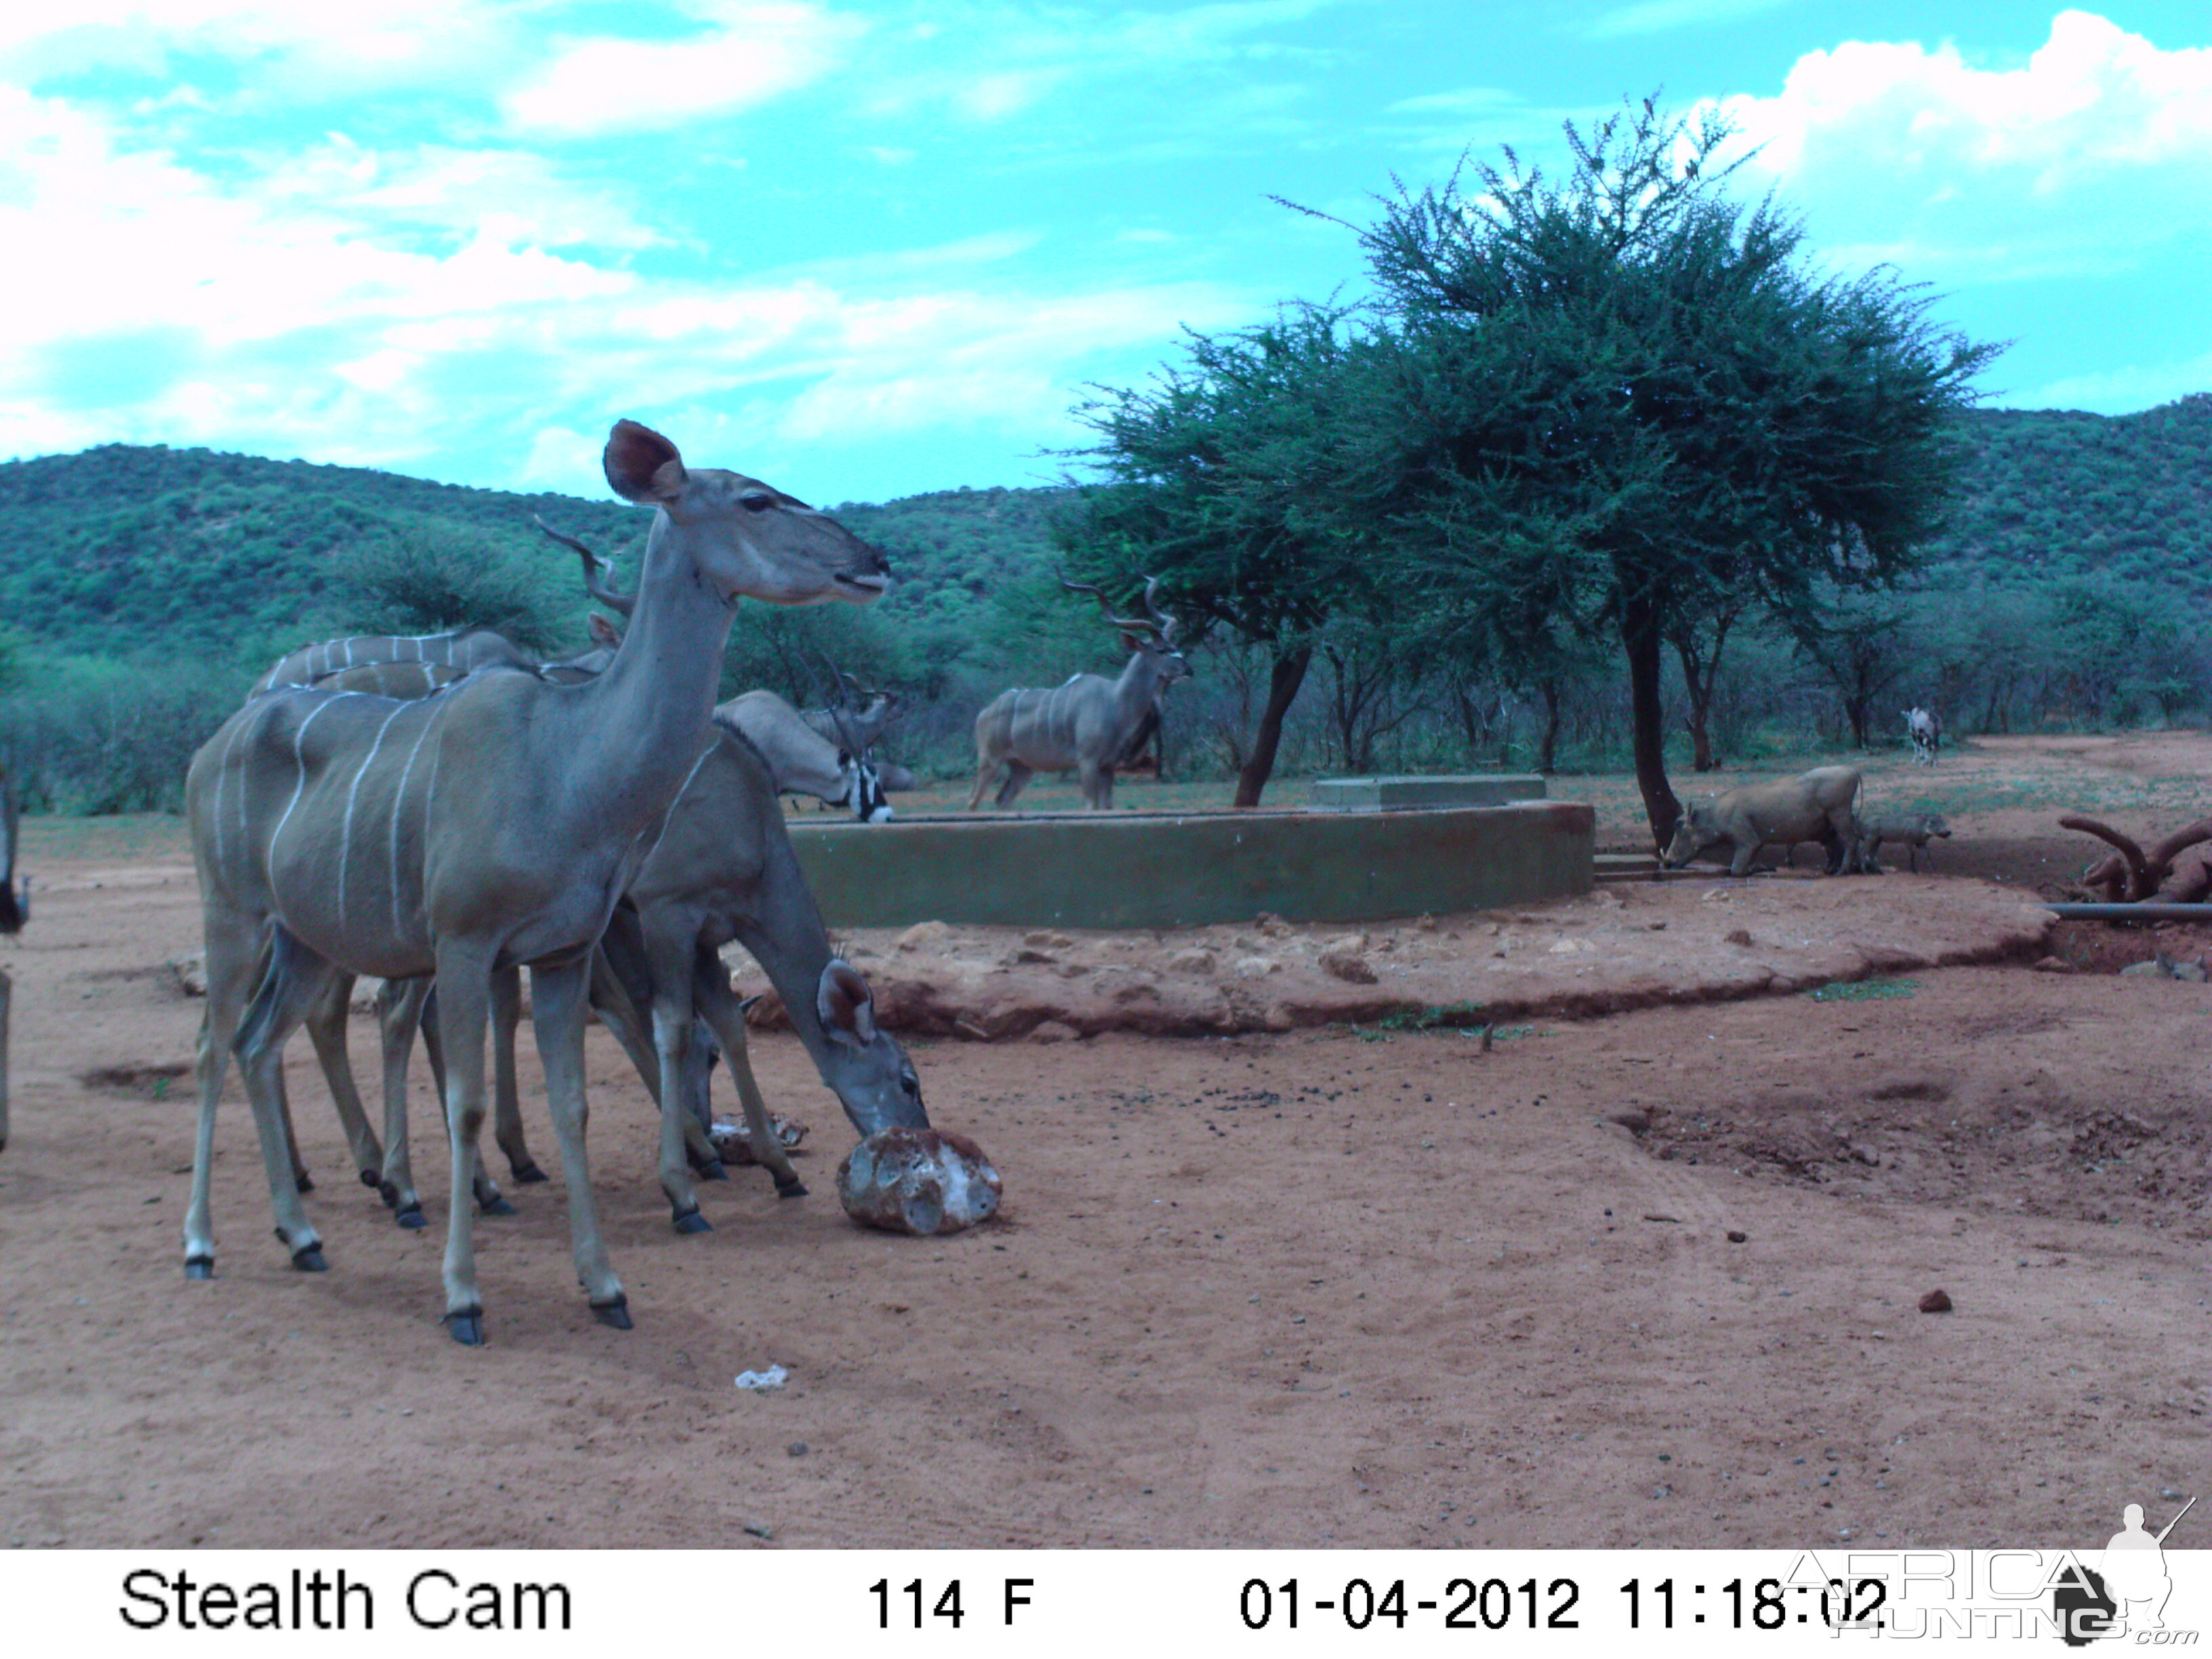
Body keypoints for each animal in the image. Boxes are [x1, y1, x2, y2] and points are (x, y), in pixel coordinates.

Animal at [179, 422, 924, 1345]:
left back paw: (305, 1233)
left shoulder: (565, 952)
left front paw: (607, 1284)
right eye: (754, 499)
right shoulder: (492, 941)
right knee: (217, 1047)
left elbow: (578, 1098)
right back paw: (214, 1242)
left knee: (261, 1043)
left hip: (310, 938)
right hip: (236, 917)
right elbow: (483, 1095)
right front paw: (466, 1295)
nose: (875, 559)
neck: (568, 763)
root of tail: (218, 739)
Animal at [960, 579, 1185, 814]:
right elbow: (1091, 806)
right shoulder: (1087, 761)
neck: (1115, 700)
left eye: (1175, 647)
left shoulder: (1108, 765)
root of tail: (984, 713)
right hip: (990, 760)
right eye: (1161, 650)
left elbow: (1106, 806)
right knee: (973, 800)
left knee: (1002, 799)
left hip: (1022, 767)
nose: (1188, 669)